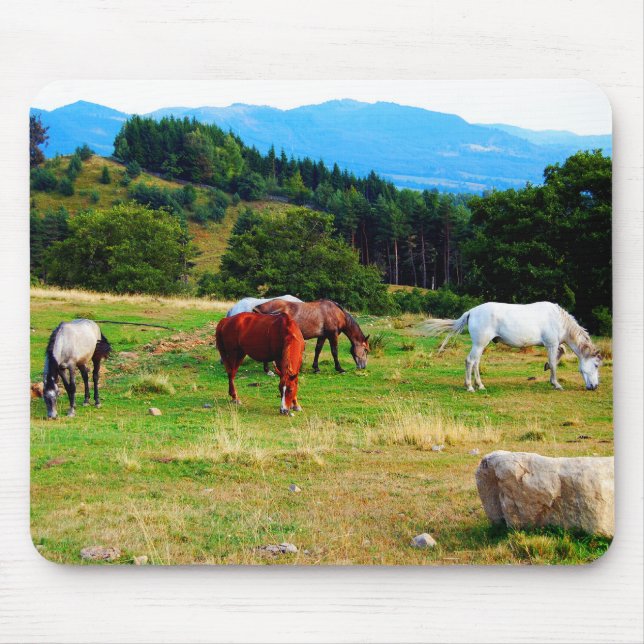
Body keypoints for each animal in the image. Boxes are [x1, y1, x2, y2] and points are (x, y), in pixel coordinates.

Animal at [425, 301, 602, 391]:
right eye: (595, 365)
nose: (594, 387)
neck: (558, 320)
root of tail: (472, 311)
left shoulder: (553, 344)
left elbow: (560, 353)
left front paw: (547, 370)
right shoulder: (550, 344)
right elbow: (553, 363)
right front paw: (556, 384)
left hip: (481, 345)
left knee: (476, 362)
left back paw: (480, 385)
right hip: (479, 344)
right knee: (470, 361)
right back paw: (470, 386)